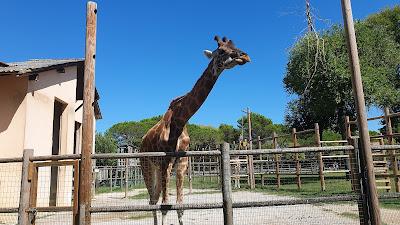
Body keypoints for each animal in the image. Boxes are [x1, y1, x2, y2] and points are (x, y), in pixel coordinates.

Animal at [141, 36, 250, 224]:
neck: (180, 119)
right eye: (221, 50)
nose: (244, 56)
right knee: (153, 201)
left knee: (153, 199)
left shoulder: (182, 162)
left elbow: (180, 205)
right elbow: (165, 206)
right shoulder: (165, 160)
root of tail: (141, 141)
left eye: (235, 46)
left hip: (156, 168)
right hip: (147, 165)